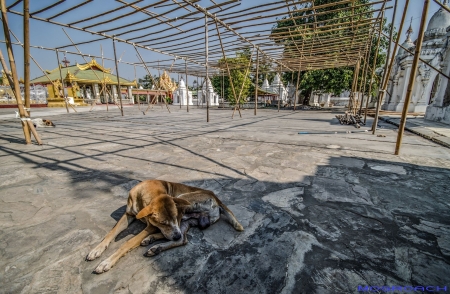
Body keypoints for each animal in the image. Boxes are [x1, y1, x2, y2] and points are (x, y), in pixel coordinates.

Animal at [86, 179, 244, 274]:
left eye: (175, 217)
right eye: (163, 222)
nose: (175, 233)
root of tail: (216, 197)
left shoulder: (151, 226)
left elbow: (128, 242)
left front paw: (107, 261)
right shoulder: (128, 215)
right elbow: (111, 233)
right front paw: (97, 250)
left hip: (183, 203)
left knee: (179, 238)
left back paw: (154, 243)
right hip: (189, 220)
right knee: (182, 239)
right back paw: (154, 245)